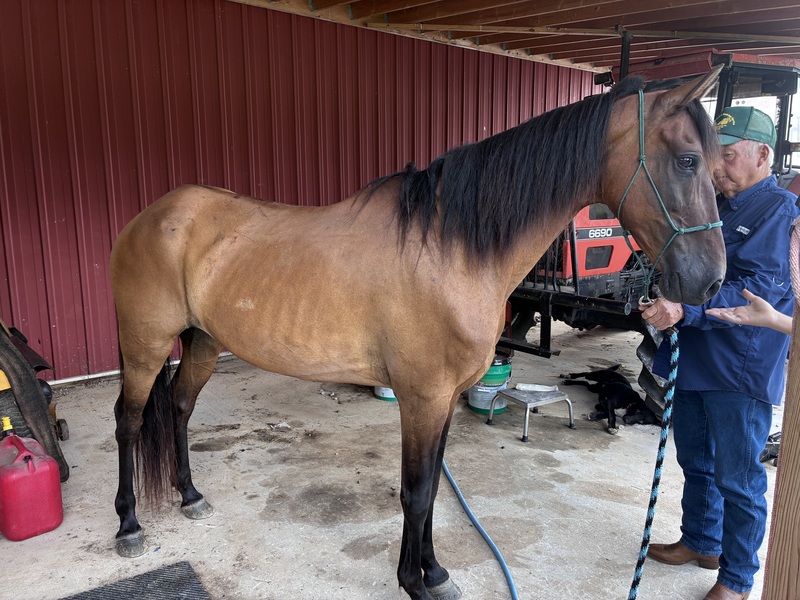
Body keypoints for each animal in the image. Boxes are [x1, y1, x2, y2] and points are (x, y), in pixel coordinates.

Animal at [109, 67, 725, 600]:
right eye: (688, 160)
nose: (710, 281)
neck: (452, 247)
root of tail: (151, 217)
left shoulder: (444, 398)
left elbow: (431, 492)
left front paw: (433, 572)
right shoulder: (422, 397)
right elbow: (418, 490)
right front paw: (414, 582)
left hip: (203, 341)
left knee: (181, 406)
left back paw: (190, 495)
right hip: (145, 346)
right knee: (130, 420)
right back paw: (129, 526)